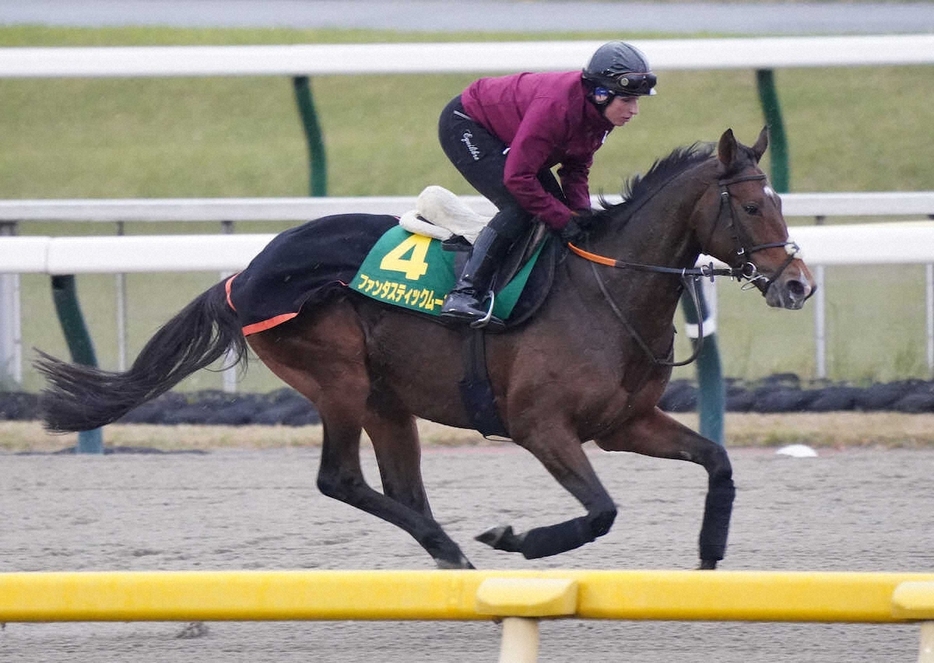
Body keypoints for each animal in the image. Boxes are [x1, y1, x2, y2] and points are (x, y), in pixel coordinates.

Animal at [36, 128, 816, 572]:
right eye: (753, 206)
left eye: (780, 201)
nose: (799, 284)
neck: (606, 288)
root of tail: (243, 276)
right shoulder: (540, 426)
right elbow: (600, 511)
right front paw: (513, 537)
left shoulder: (624, 423)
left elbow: (717, 460)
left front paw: (710, 552)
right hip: (340, 380)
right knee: (341, 480)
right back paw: (455, 550)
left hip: (388, 399)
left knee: (400, 488)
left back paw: (447, 556)